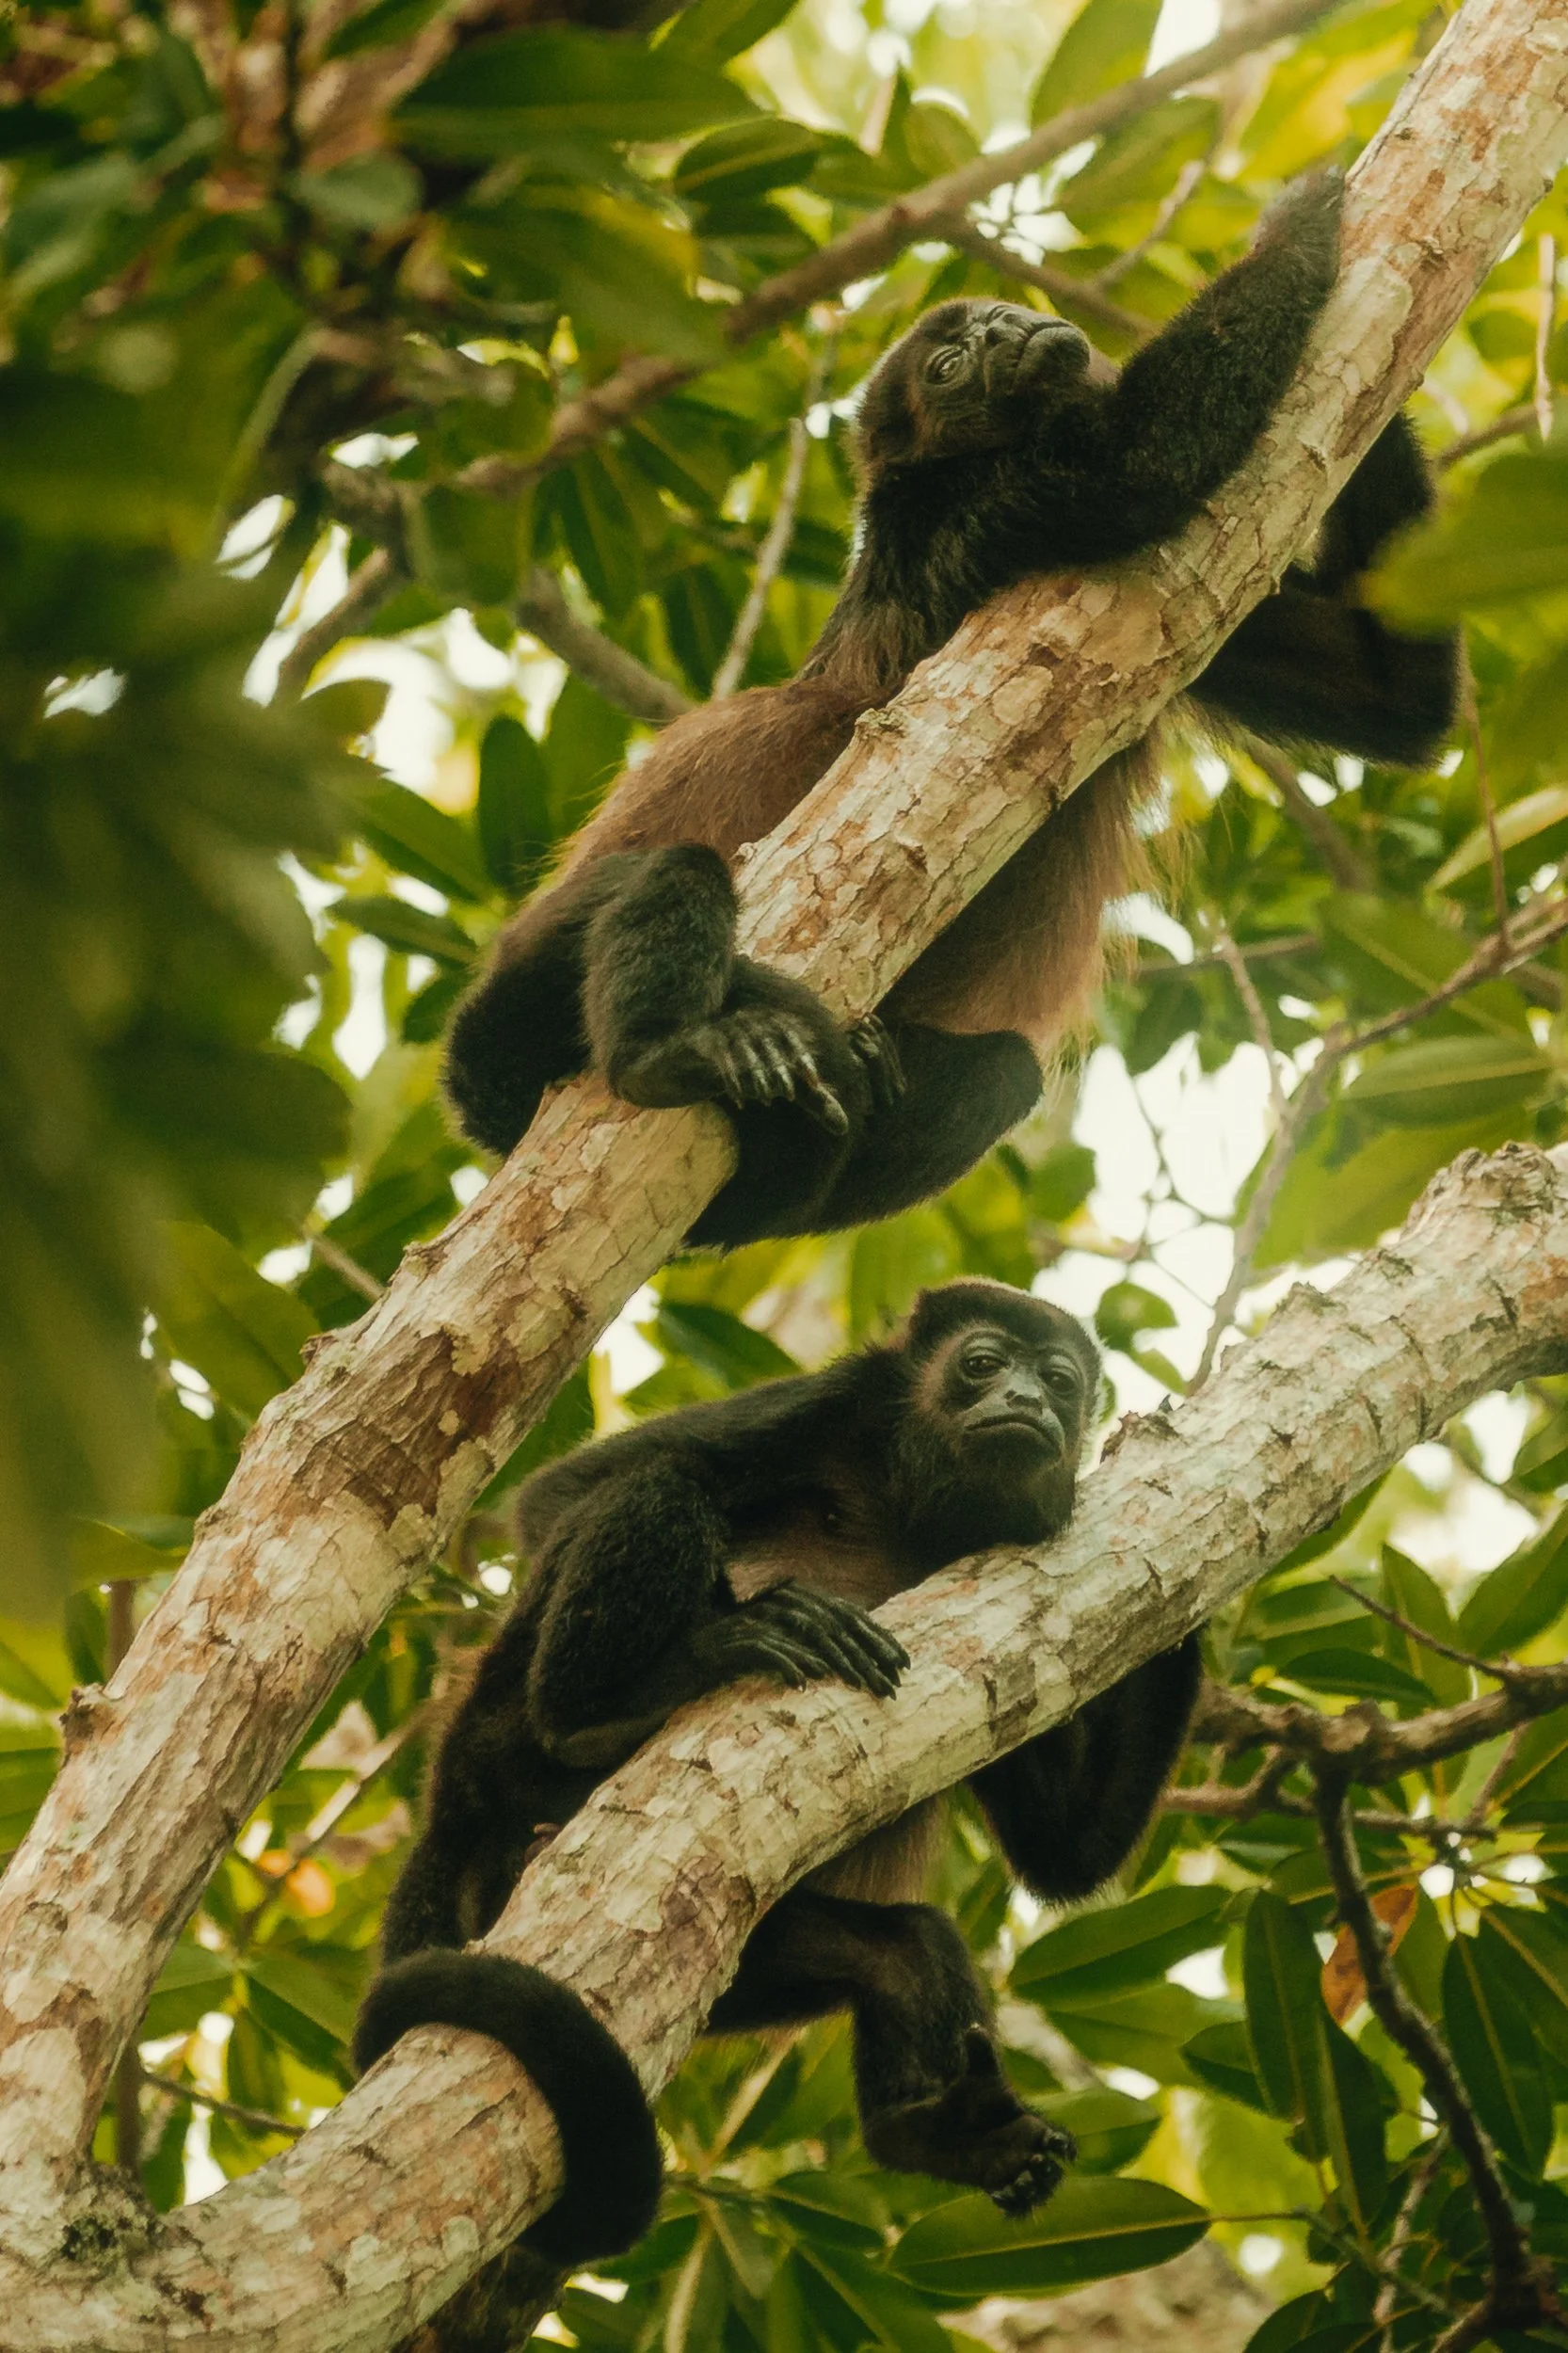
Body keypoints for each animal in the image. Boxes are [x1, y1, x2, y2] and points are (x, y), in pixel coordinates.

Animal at [355, 1282, 1202, 2261]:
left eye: (1060, 1381)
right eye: (984, 1364)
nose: (1027, 1400)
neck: (927, 1506)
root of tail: (450, 1814)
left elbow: (1063, 1853)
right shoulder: (830, 1401)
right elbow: (554, 1499)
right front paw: (763, 1611)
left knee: (906, 1947)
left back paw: (948, 2134)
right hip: (496, 1729)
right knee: (660, 1483)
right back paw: (616, 1708)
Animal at [443, 167, 1459, 1248]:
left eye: (978, 321)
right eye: (946, 365)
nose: (1002, 328)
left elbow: (1397, 698)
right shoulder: (959, 517)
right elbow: (1135, 464)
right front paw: (1295, 226)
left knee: (999, 1076)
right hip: (525, 984)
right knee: (664, 875)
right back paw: (663, 1054)